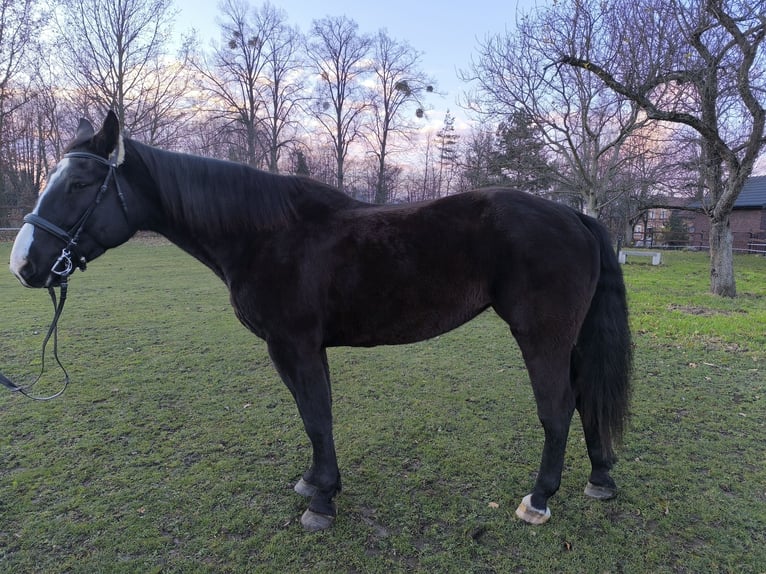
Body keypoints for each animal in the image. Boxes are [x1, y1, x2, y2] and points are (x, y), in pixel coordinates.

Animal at [9, 115, 632, 532]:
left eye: (79, 185)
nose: (25, 264)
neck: (265, 235)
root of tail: (574, 214)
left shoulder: (296, 346)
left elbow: (315, 416)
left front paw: (322, 502)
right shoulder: (295, 350)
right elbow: (312, 417)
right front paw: (314, 483)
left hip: (541, 336)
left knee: (556, 409)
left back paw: (539, 499)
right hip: (569, 338)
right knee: (585, 399)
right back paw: (600, 478)